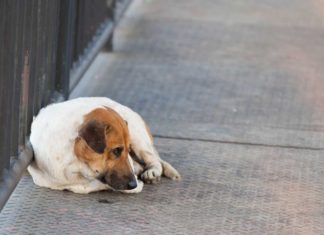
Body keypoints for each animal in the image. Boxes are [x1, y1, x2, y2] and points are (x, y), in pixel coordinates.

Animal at [27, 96, 180, 194]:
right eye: (117, 150)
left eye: (128, 149)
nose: (133, 184)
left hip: (138, 137)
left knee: (154, 160)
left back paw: (152, 172)